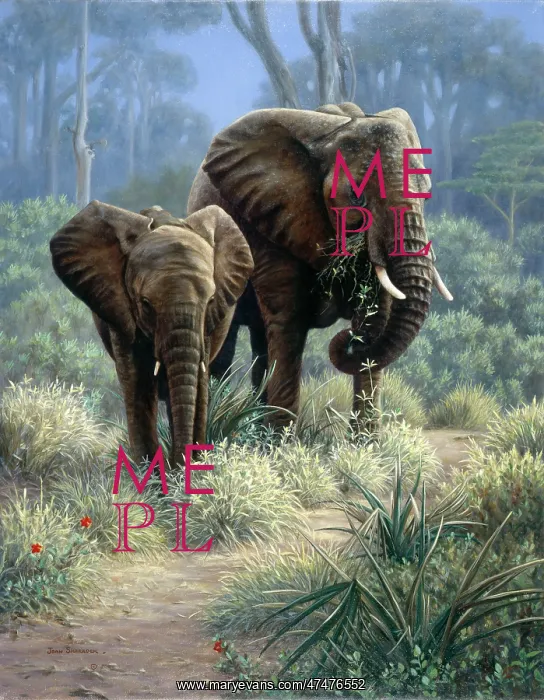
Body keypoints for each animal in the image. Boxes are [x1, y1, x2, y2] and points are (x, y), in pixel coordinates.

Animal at [49, 201, 254, 468]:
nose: (179, 465)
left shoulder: (206, 325)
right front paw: (152, 477)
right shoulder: (119, 309)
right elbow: (138, 383)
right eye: (145, 304)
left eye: (210, 301)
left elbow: (199, 386)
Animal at [189, 102, 452, 425]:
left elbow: (374, 315)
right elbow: (290, 320)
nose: (349, 341)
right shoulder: (271, 218)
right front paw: (282, 438)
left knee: (261, 342)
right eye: (356, 198)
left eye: (425, 195)